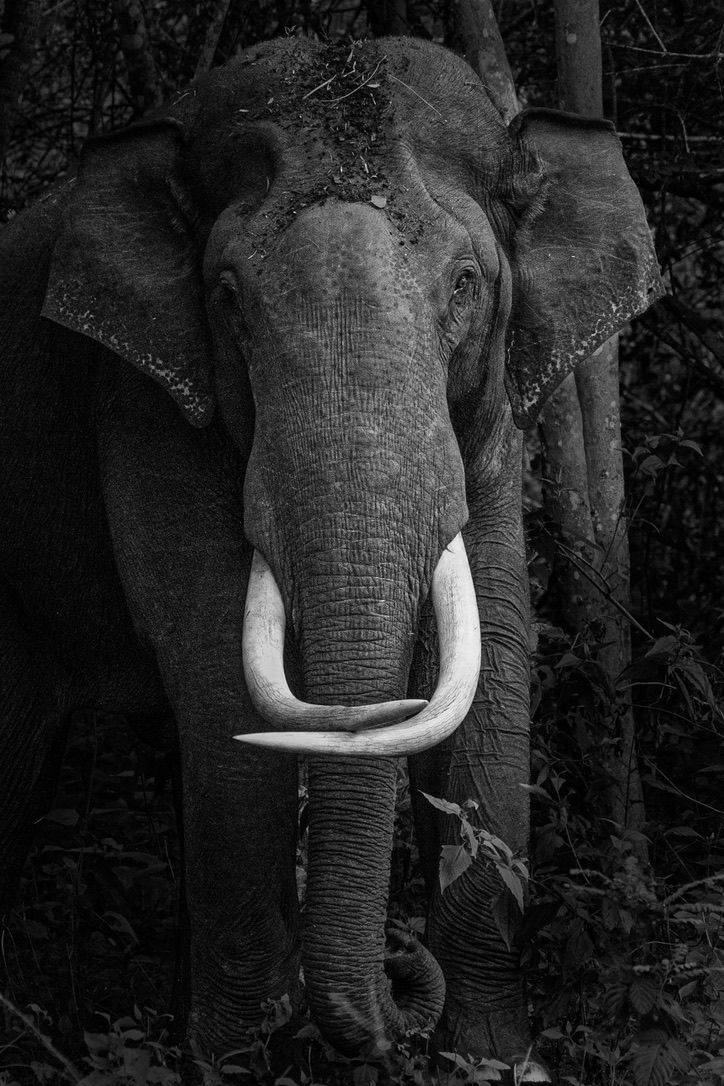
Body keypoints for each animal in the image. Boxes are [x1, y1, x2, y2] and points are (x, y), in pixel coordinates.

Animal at [0, 33, 661, 1076]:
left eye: (465, 284)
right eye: (228, 297)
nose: (399, 967)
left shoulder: (493, 424)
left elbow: (494, 664)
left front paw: (491, 1058)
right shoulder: (144, 395)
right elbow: (218, 677)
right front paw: (241, 1059)